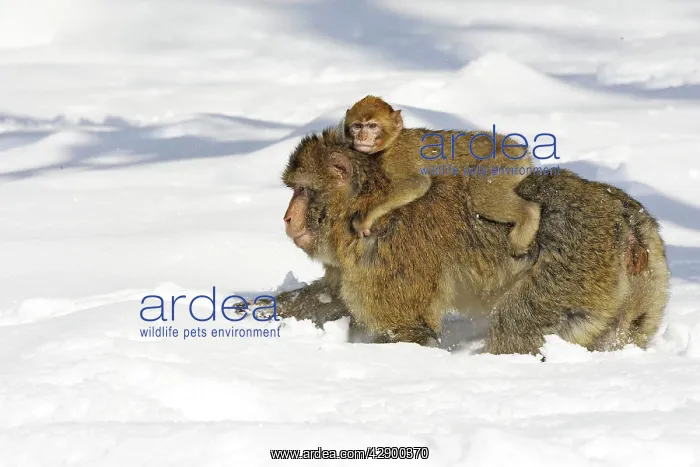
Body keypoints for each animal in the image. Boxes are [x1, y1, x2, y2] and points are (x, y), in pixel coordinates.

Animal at [281, 127, 670, 354]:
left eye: (303, 191)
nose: (286, 218)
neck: (366, 204)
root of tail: (628, 224)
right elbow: (333, 298)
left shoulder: (386, 256)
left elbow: (406, 331)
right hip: (647, 287)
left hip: (573, 272)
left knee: (518, 326)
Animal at [344, 95, 540, 256]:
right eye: (357, 126)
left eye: (372, 126)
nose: (362, 137)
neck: (392, 142)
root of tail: (516, 147)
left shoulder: (397, 158)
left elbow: (418, 183)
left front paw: (365, 218)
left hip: (503, 163)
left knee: (481, 194)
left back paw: (527, 219)